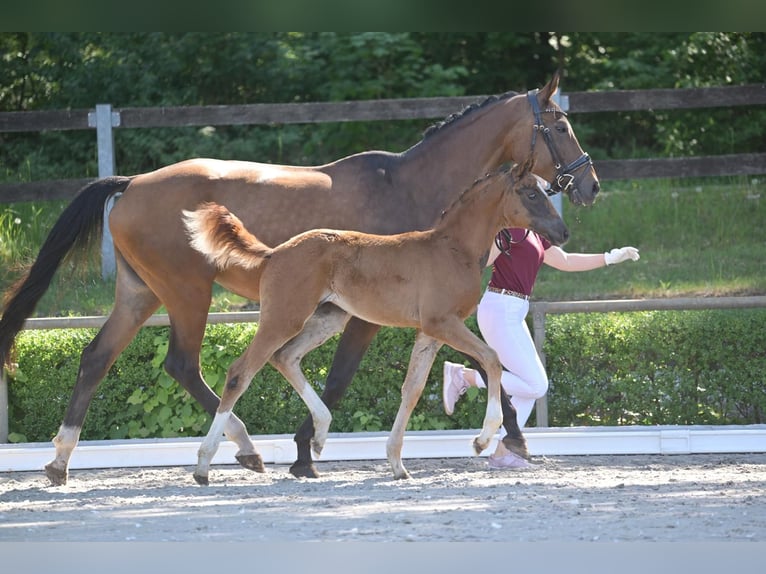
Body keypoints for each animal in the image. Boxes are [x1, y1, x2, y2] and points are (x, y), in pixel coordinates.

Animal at [183, 161, 569, 485]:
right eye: (531, 193)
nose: (563, 232)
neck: (452, 249)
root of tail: (274, 253)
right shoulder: (442, 323)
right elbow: (491, 359)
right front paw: (481, 440)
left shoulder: (429, 332)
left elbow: (412, 390)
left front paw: (398, 464)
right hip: (283, 317)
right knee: (241, 372)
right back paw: (206, 465)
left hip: (328, 318)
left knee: (286, 357)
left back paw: (320, 436)